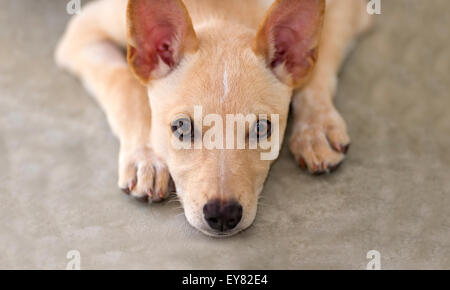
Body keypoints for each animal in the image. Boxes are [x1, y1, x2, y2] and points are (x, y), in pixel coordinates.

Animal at [55, 0, 372, 236]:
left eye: (262, 128)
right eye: (181, 127)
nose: (222, 215)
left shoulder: (349, 8)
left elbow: (317, 68)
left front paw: (316, 129)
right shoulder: (83, 31)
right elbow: (127, 86)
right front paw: (146, 157)